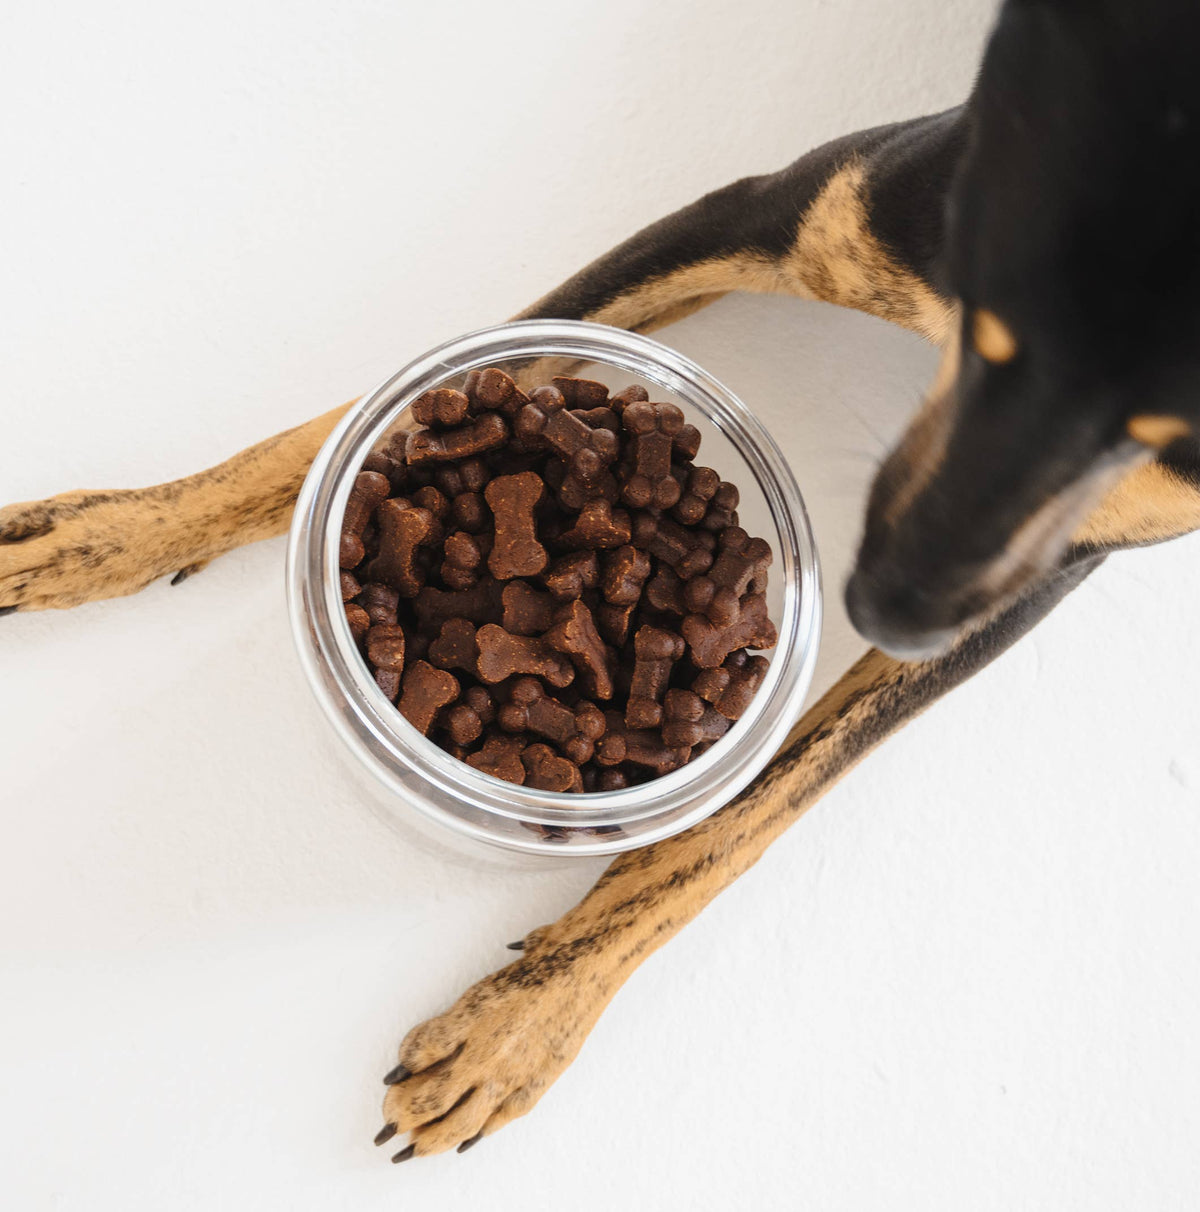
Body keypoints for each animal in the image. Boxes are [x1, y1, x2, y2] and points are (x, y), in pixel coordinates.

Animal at [2, 0, 1200, 1163]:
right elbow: (377, 412)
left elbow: (746, 814)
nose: (883, 608)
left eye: (1165, 436)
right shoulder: (763, 217)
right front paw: (109, 532)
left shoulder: (1059, 553)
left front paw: (515, 1027)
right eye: (995, 320)